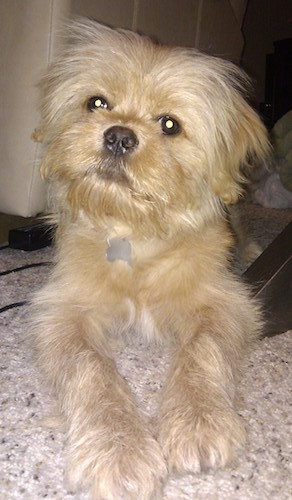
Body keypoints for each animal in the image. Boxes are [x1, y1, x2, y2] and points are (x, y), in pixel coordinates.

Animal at [30, 17, 270, 498]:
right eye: (97, 103)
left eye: (170, 125)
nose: (119, 136)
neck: (133, 236)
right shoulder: (61, 312)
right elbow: (91, 368)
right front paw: (119, 448)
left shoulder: (225, 302)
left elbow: (201, 350)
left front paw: (198, 422)